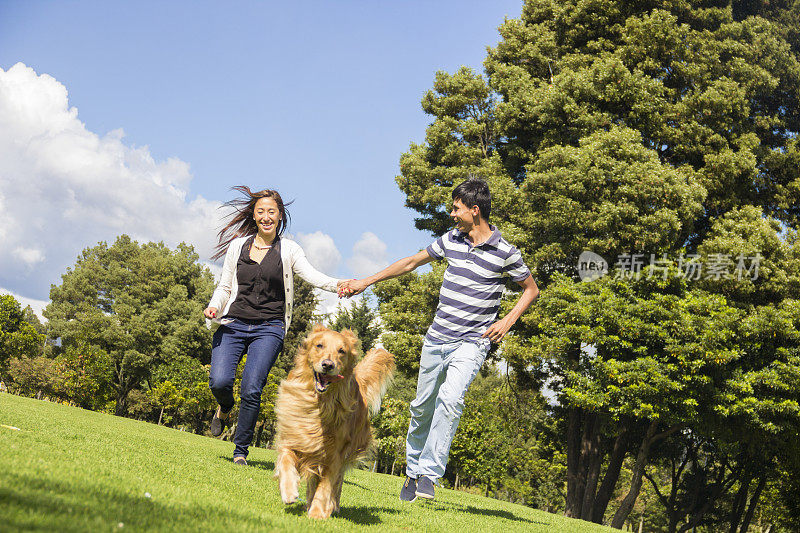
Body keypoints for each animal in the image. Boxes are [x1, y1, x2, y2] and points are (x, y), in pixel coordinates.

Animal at [276, 322, 396, 516]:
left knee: (337, 482)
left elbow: (326, 486)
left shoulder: (336, 453)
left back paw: (332, 506)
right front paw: (289, 491)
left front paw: (317, 512)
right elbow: (286, 459)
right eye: (319, 345)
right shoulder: (294, 433)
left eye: (341, 351)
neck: (320, 404)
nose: (327, 365)